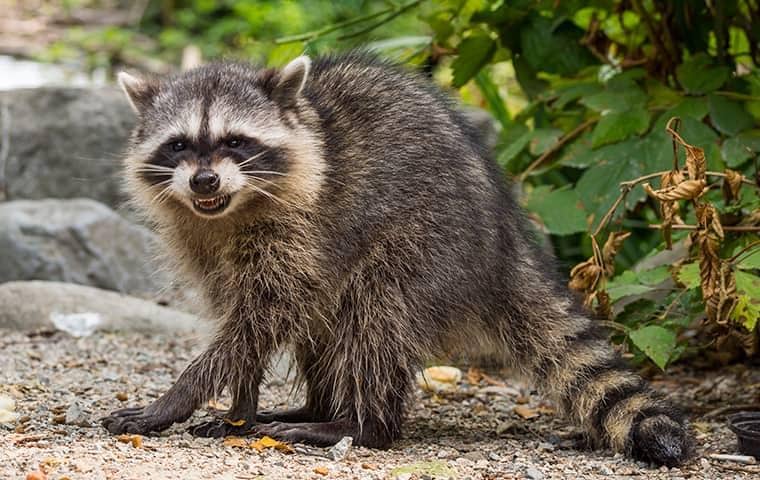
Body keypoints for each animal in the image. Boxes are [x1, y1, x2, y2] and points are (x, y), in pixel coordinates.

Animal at [102, 52, 696, 464]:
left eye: (235, 142)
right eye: (179, 145)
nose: (204, 180)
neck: (229, 211)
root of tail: (505, 242)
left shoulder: (303, 230)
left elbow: (260, 319)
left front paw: (179, 397)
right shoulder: (202, 243)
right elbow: (243, 321)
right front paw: (239, 408)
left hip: (427, 244)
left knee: (375, 317)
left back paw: (359, 426)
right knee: (329, 326)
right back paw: (316, 407)